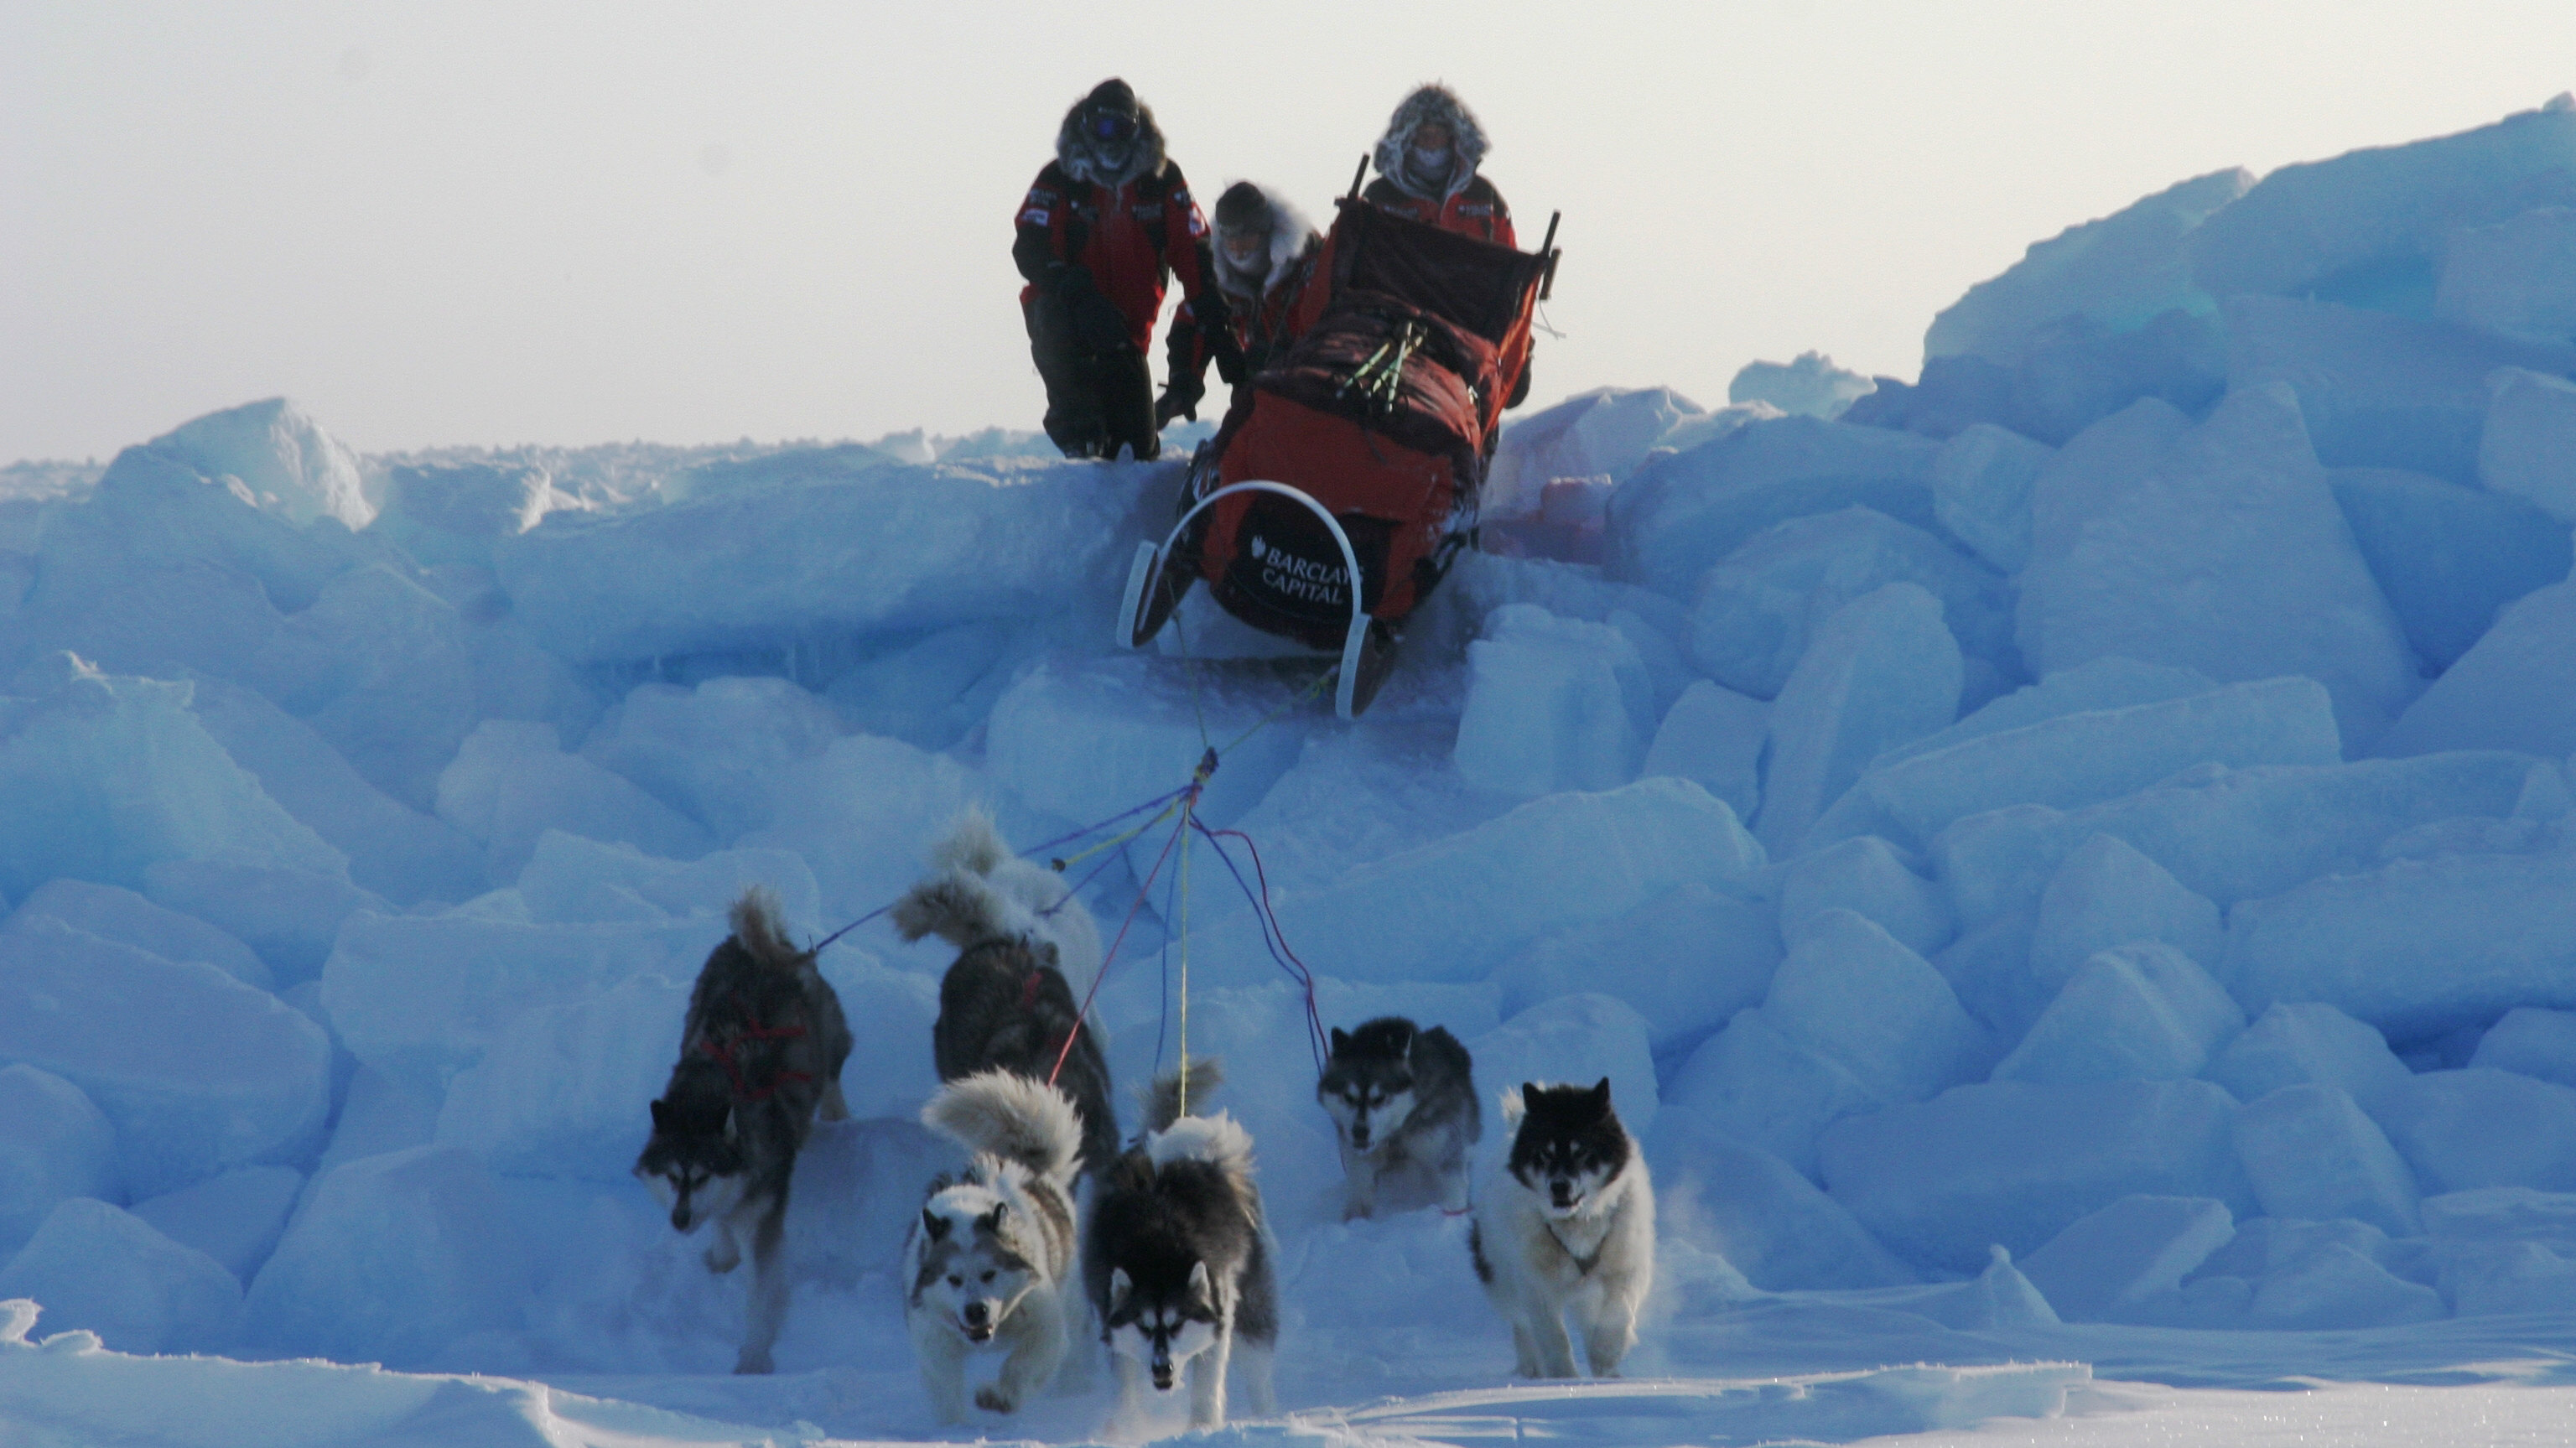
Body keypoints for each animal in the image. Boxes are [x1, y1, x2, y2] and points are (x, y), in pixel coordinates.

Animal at [906, 1067, 1087, 1411]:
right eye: (953, 1279)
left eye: (990, 1274)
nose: (976, 1310)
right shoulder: (934, 1338)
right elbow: (945, 1388)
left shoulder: (1043, 1324)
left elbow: (1024, 1363)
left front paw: (1000, 1395)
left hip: (1070, 1292)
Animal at [1473, 1072, 1649, 1370]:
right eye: (1544, 1153)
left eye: (1582, 1152)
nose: (1559, 1187)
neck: (1578, 1221)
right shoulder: (1536, 1286)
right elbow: (1553, 1338)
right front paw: (1564, 1375)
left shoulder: (1625, 1265)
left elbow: (1616, 1313)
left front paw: (1608, 1354)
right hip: (1501, 1278)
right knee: (1522, 1325)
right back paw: (1532, 1367)